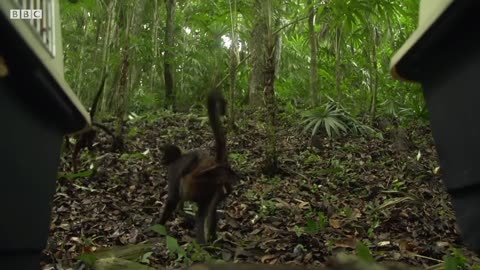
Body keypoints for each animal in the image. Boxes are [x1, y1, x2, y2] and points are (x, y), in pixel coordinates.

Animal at [159, 89, 236, 245]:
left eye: (165, 155)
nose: (162, 160)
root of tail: (216, 164)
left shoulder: (174, 169)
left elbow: (173, 199)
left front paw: (156, 226)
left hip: (201, 186)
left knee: (200, 214)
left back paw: (202, 244)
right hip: (215, 189)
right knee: (210, 210)